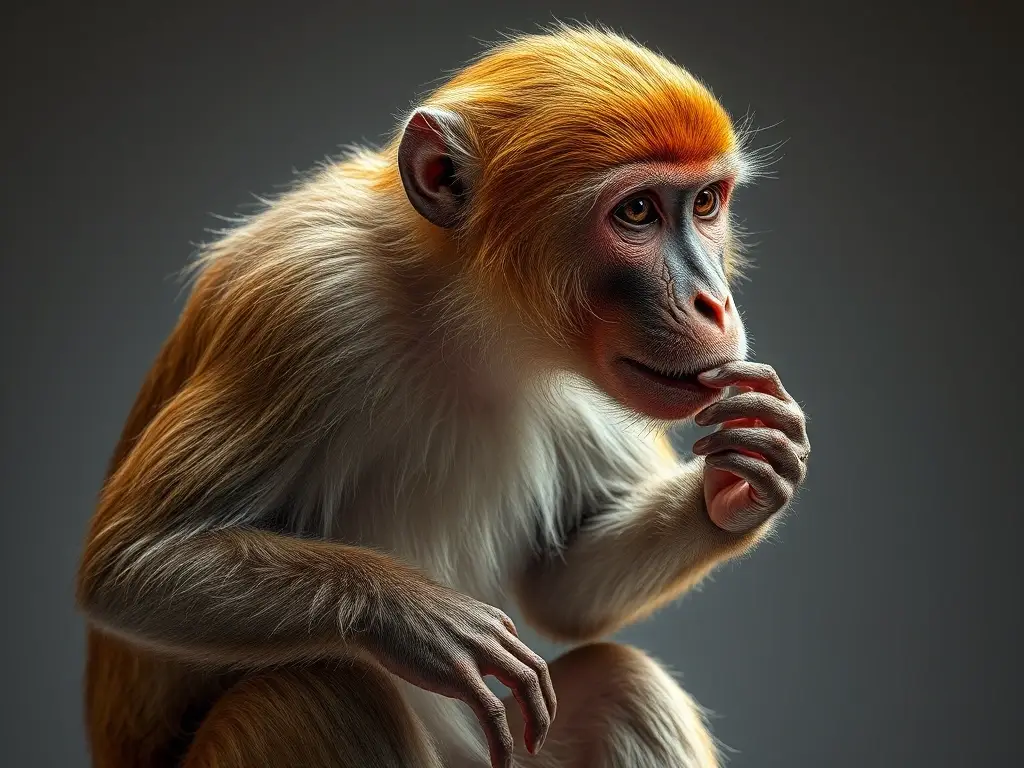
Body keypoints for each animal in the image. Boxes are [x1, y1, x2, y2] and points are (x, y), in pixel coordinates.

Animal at [76, 23, 810, 768]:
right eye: (637, 211)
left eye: (705, 203)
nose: (713, 302)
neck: (463, 313)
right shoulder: (306, 303)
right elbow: (133, 564)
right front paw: (420, 619)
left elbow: (564, 588)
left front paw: (741, 482)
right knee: (315, 688)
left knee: (623, 683)